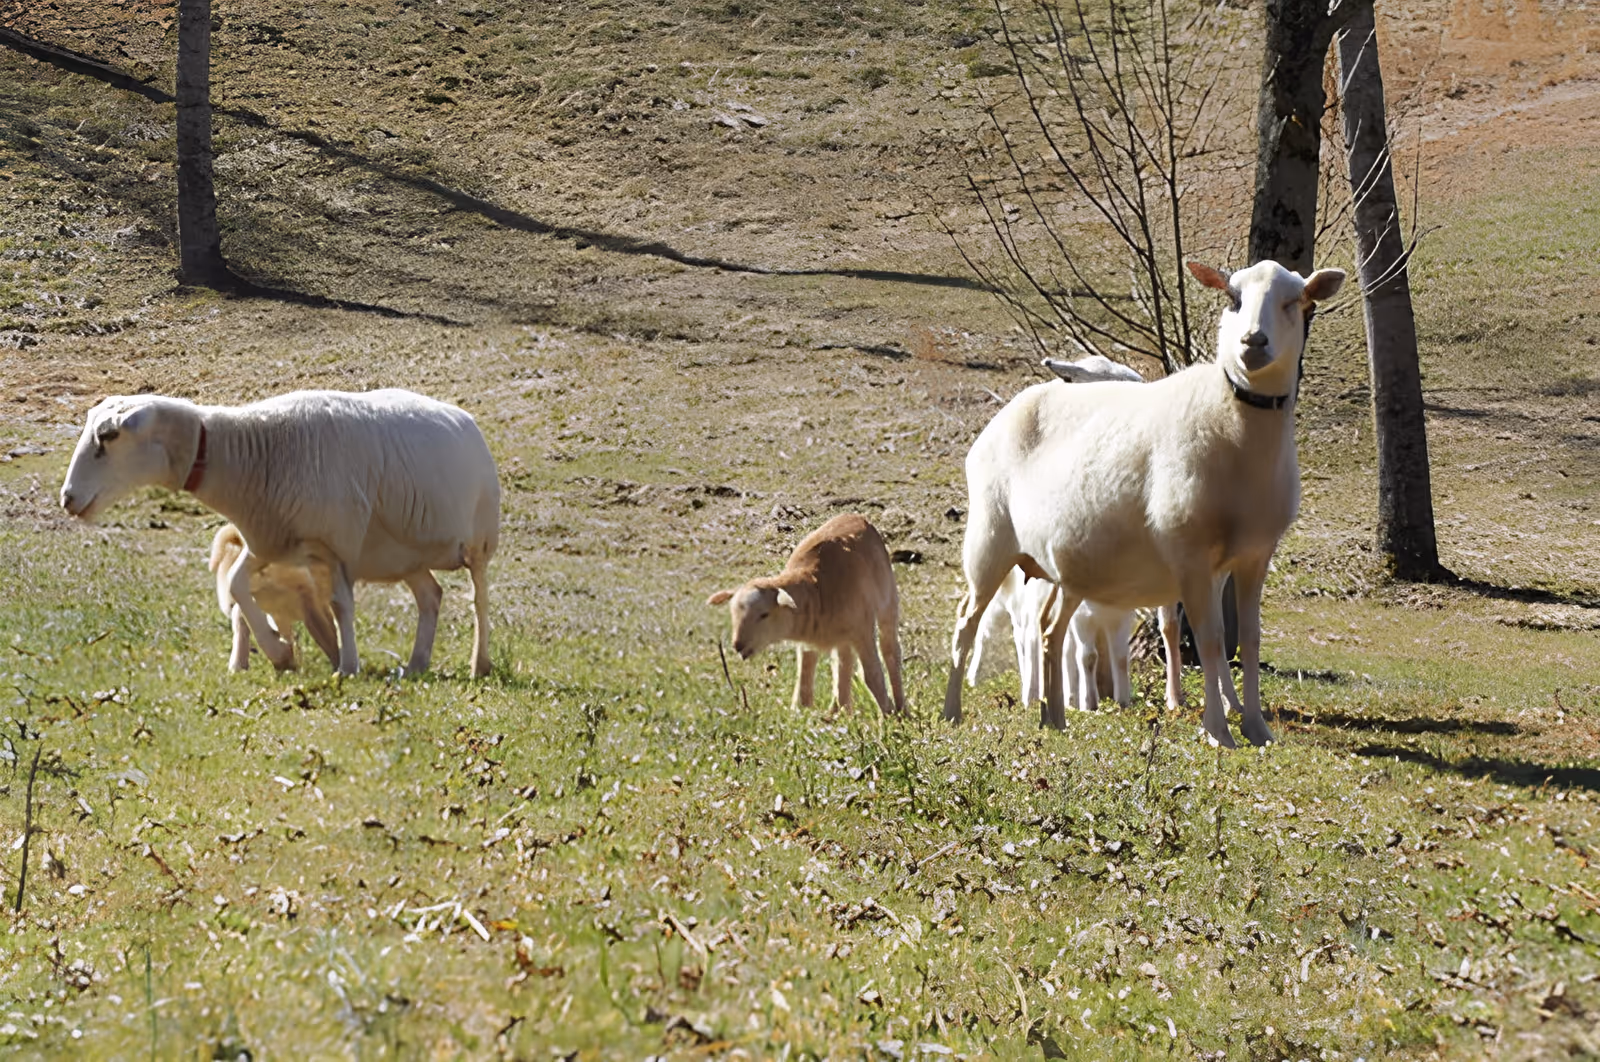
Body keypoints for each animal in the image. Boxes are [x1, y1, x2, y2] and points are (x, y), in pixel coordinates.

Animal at [708, 513, 904, 716]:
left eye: (764, 614)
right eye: (733, 614)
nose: (738, 645)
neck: (818, 590)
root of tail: (854, 516)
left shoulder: (862, 630)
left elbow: (871, 675)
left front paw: (888, 715)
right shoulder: (809, 641)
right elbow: (804, 679)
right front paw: (802, 712)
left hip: (888, 602)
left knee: (890, 652)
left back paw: (900, 708)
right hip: (844, 635)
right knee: (843, 662)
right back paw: (839, 711)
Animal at [942, 259, 1345, 747]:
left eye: (1296, 302)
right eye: (1232, 297)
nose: (1253, 342)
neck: (1233, 424)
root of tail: (1007, 411)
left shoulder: (1254, 554)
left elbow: (1248, 638)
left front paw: (1255, 726)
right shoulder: (1189, 553)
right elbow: (1209, 639)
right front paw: (1218, 731)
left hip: (1063, 567)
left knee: (1050, 629)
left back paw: (1053, 717)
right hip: (988, 540)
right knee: (966, 622)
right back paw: (952, 712)